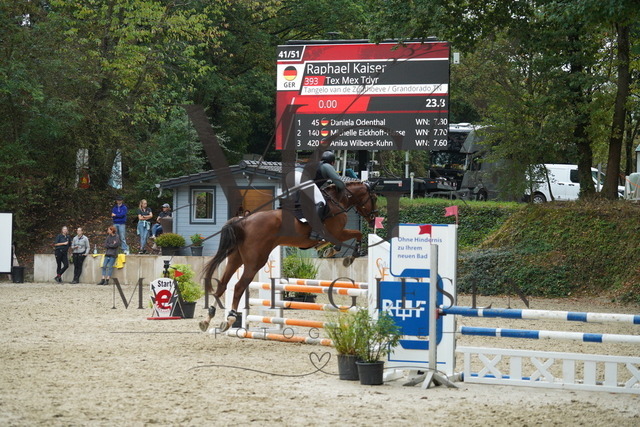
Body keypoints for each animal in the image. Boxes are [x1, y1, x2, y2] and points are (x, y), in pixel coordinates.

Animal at [199, 180, 378, 333]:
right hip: (255, 261)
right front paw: (348, 257)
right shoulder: (337, 232)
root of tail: (242, 221)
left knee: (223, 284)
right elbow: (358, 234)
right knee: (238, 287)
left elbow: (350, 237)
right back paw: (230, 319)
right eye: (374, 198)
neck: (337, 201)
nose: (373, 219)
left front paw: (331, 251)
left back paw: (208, 319)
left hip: (236, 259)